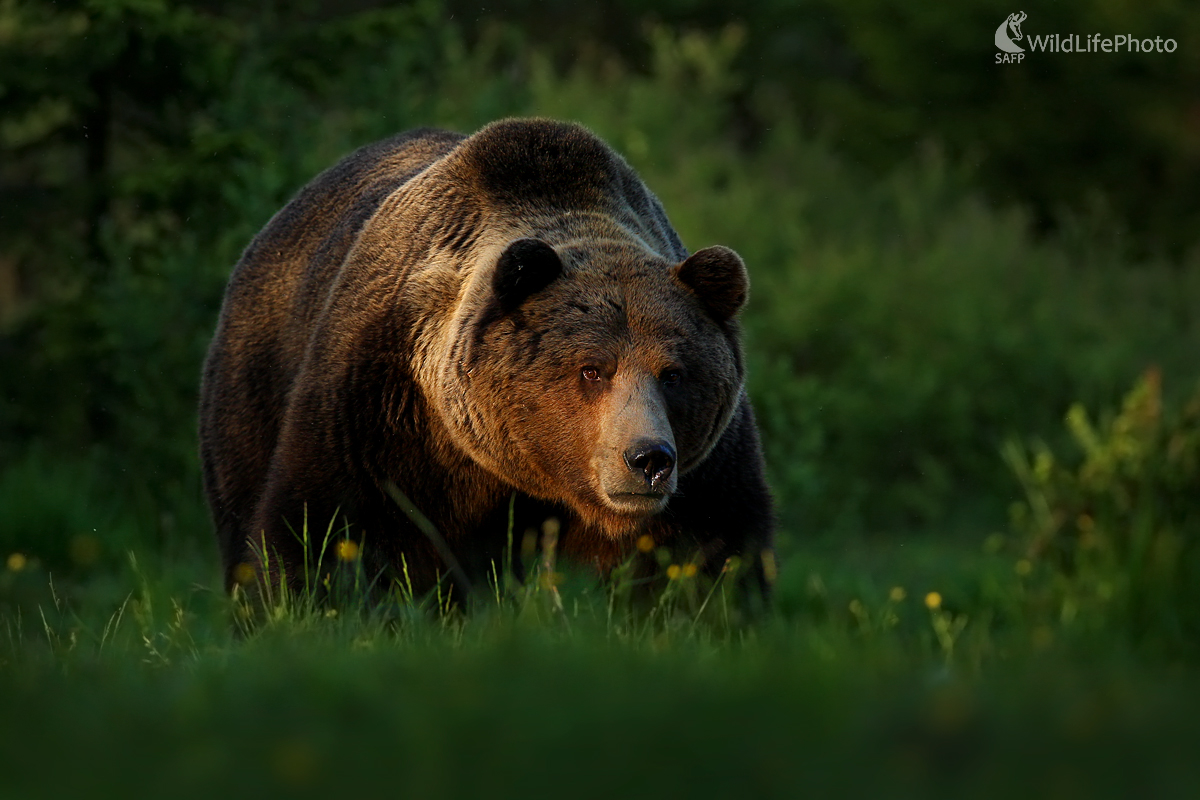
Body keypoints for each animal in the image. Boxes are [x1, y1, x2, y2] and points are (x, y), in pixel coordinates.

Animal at [200, 118, 772, 604]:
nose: (648, 459)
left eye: (673, 374)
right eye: (592, 369)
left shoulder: (707, 469)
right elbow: (320, 528)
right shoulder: (378, 408)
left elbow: (713, 556)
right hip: (254, 384)